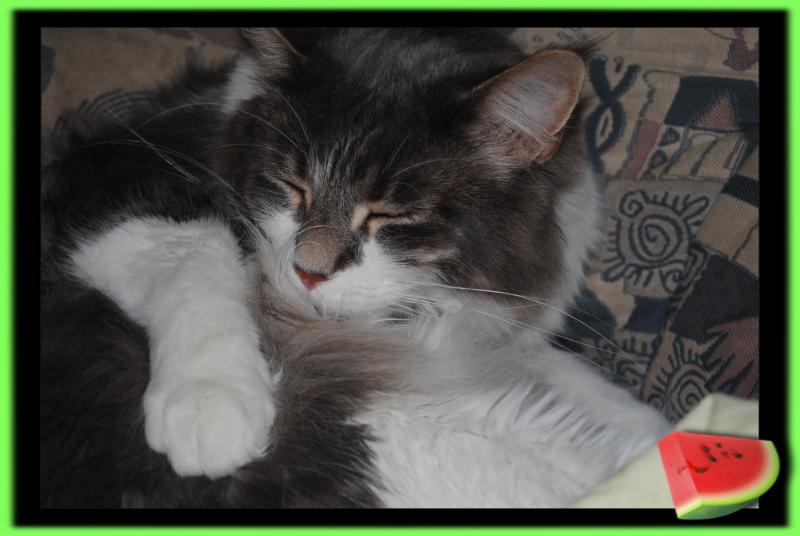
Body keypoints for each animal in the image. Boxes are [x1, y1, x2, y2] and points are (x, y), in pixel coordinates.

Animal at [40, 28, 671, 508]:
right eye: (292, 186)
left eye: (392, 215)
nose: (308, 272)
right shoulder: (106, 197)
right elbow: (197, 251)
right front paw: (212, 404)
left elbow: (591, 389)